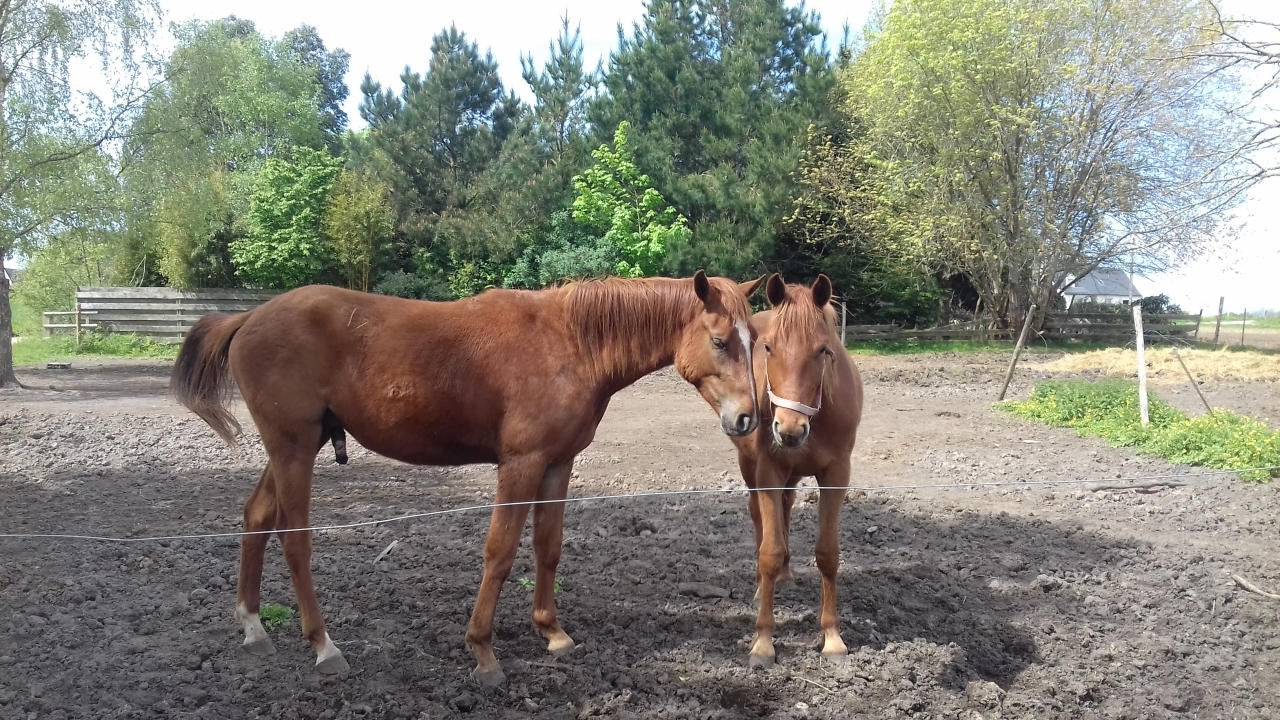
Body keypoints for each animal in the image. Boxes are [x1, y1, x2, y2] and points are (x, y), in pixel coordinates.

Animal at [170, 271, 765, 685]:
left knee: (256, 517)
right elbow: (499, 552)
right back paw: (323, 646)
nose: (747, 419)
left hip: (295, 447)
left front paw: (552, 632)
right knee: (293, 540)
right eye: (719, 340)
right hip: (293, 449)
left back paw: (253, 627)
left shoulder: (557, 463)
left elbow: (547, 547)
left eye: (755, 340)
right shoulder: (520, 463)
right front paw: (483, 651)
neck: (571, 342)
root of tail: (248, 318)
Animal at [729, 273, 864, 667]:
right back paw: (763, 585)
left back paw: (787, 574)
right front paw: (763, 641)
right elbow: (769, 551)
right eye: (769, 347)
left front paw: (832, 636)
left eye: (823, 349)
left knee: (786, 506)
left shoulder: (836, 476)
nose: (789, 430)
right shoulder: (768, 473)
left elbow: (828, 554)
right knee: (759, 517)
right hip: (751, 468)